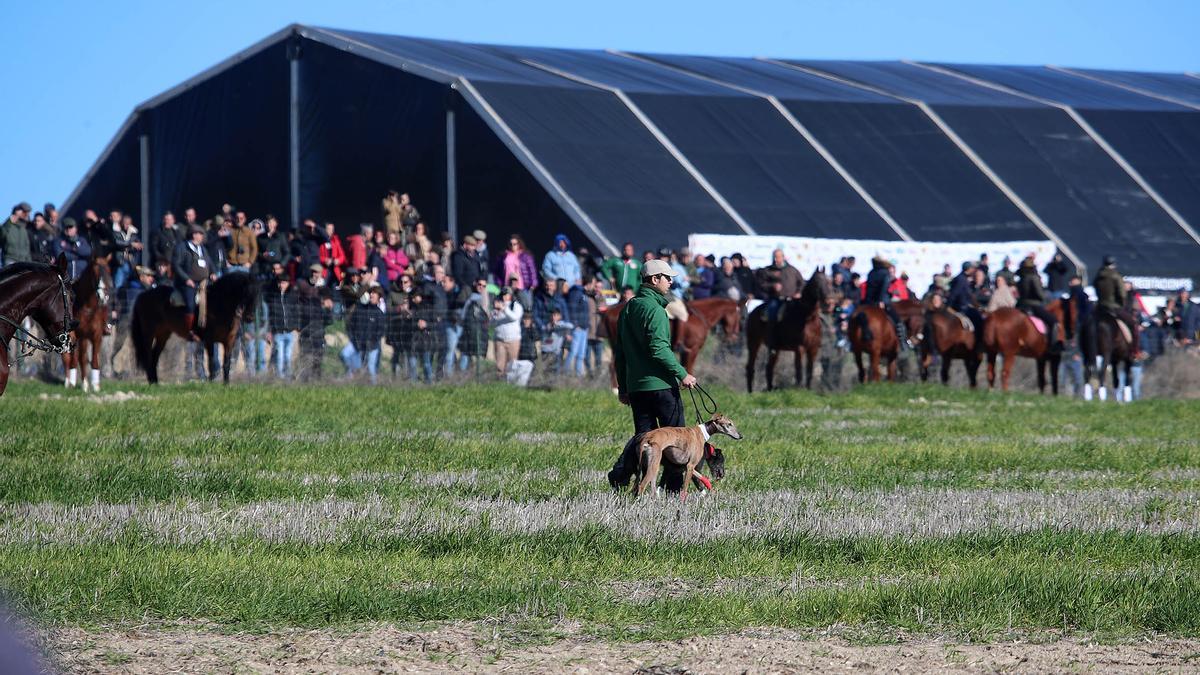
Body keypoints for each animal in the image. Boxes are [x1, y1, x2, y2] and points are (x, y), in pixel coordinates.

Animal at [61, 254, 112, 391]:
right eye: (95, 273)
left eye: (109, 272)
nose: (103, 297)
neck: (88, 307)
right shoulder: (81, 335)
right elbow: (81, 359)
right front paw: (83, 384)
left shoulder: (97, 336)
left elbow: (94, 360)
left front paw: (95, 386)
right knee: (70, 359)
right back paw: (69, 381)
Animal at [131, 269, 260, 384]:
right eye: (245, 293)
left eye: (257, 295)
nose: (250, 318)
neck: (219, 304)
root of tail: (143, 295)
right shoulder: (209, 340)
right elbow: (211, 361)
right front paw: (211, 382)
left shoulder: (229, 340)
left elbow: (226, 363)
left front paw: (226, 383)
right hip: (148, 333)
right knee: (148, 354)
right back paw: (151, 380)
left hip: (163, 334)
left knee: (154, 356)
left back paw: (154, 381)